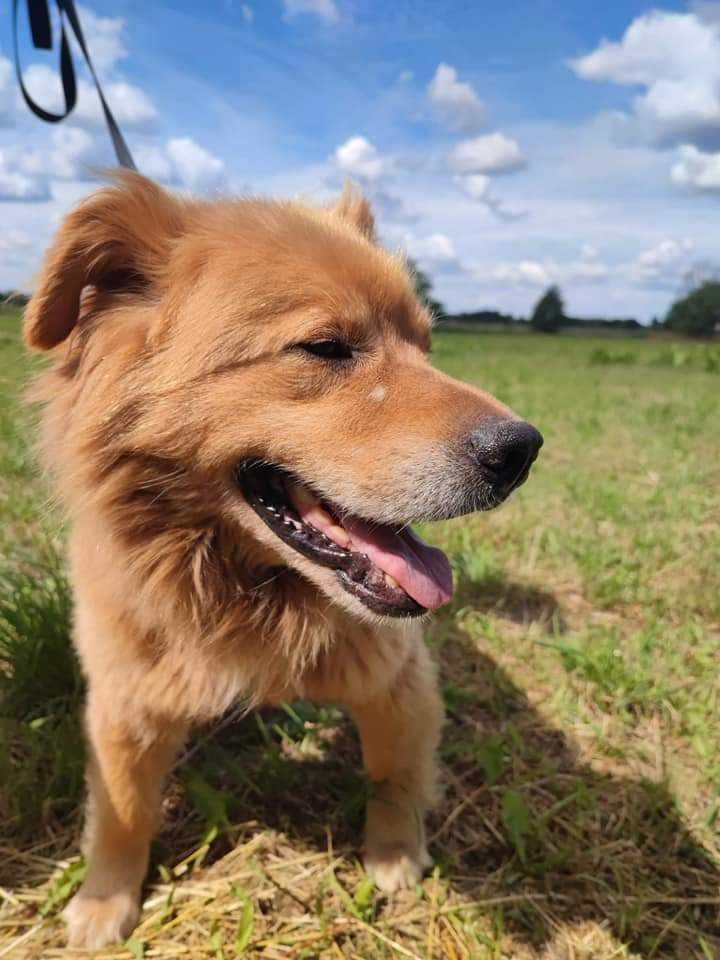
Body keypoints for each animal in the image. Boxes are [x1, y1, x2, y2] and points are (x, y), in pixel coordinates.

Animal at [22, 171, 544, 944]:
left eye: (426, 344)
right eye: (325, 346)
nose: (522, 451)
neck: (247, 590)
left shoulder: (399, 677)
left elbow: (393, 774)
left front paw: (395, 855)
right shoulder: (123, 697)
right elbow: (123, 811)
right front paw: (104, 900)